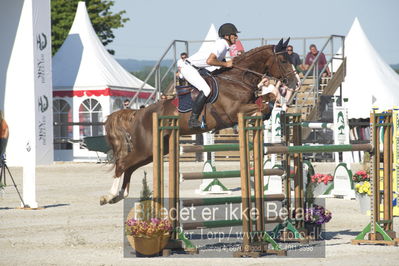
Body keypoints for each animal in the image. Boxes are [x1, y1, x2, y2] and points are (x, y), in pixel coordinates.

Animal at [101, 38, 298, 205]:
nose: (295, 82)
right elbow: (261, 104)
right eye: (283, 60)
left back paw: (120, 195)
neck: (237, 79)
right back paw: (110, 196)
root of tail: (138, 113)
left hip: (154, 150)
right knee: (123, 164)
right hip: (146, 147)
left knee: (130, 167)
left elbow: (269, 96)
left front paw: (273, 106)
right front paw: (264, 112)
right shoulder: (234, 111)